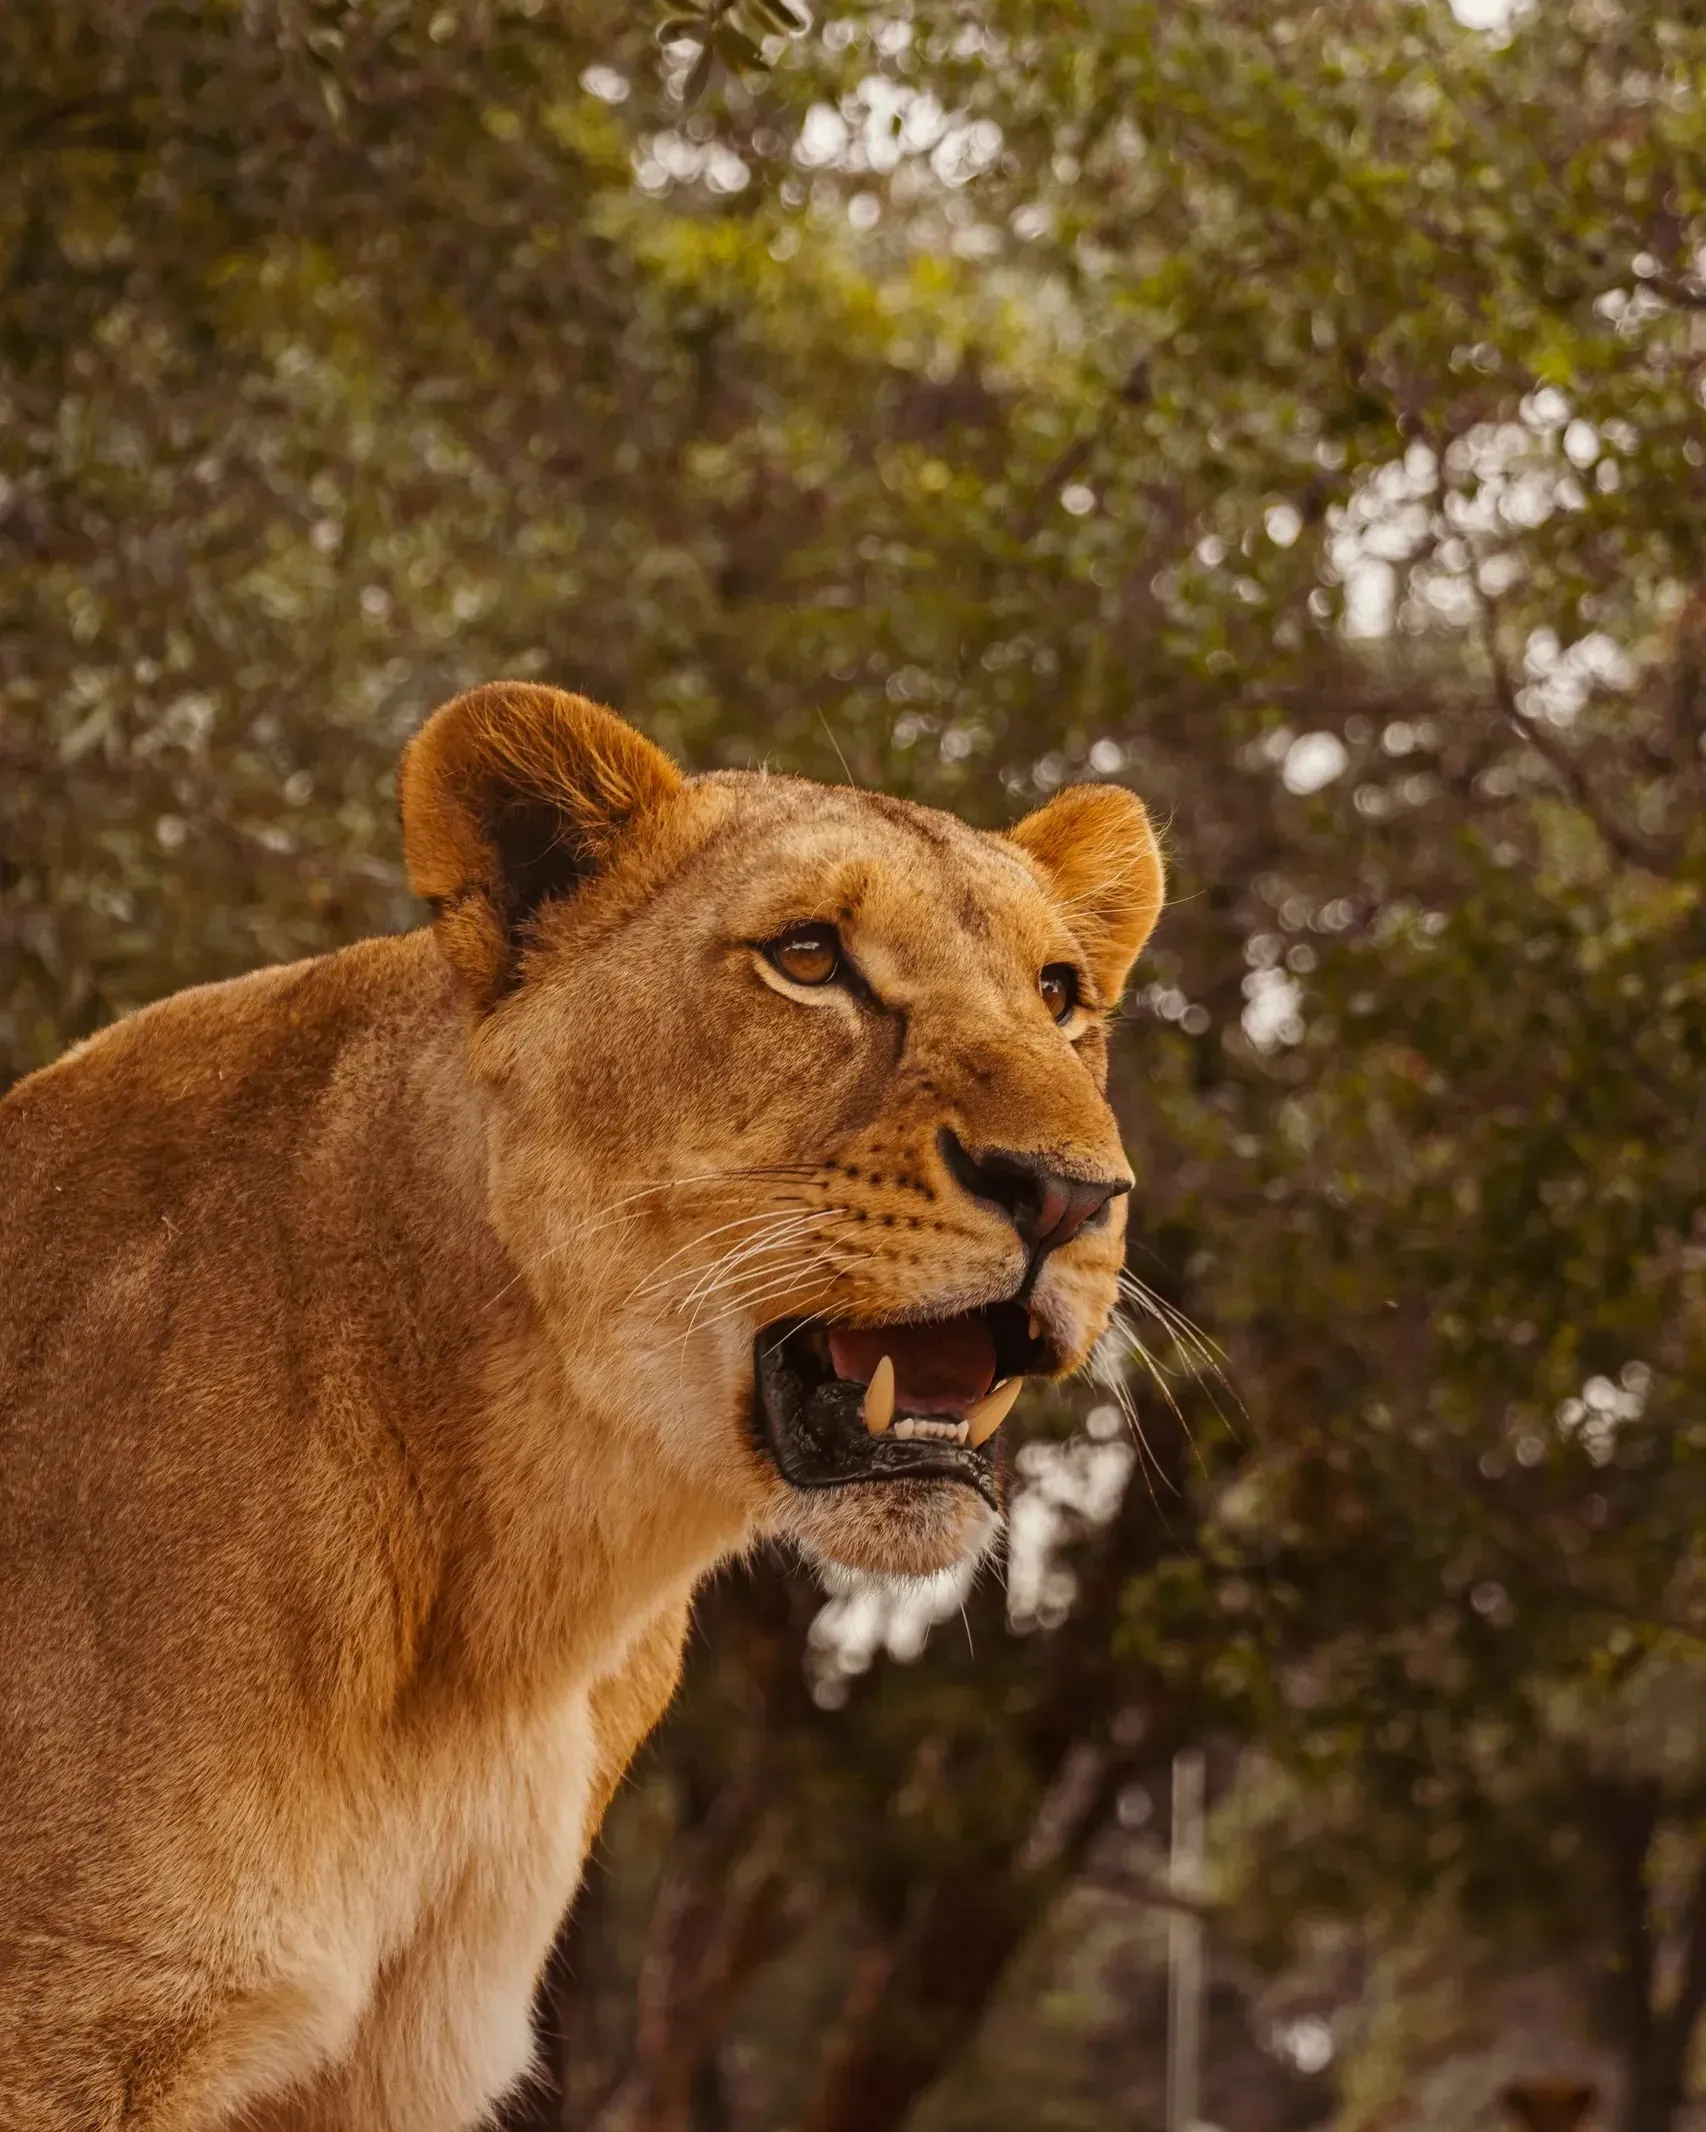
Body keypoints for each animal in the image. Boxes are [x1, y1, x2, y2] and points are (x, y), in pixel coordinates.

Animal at [0, 682, 1163, 2130]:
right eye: (808, 956)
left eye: (1061, 995)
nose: (1067, 1193)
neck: (510, 1610)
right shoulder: (75, 2019)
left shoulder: (395, 2064)